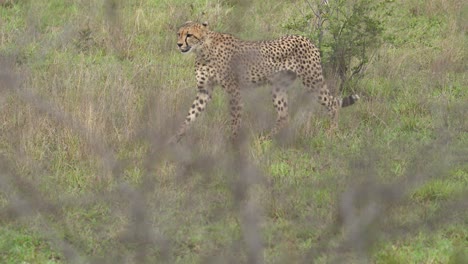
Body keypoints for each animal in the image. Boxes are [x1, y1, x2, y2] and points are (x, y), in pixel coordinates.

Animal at [174, 21, 360, 142]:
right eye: (179, 34)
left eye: (189, 35)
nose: (178, 44)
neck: (202, 49)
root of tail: (306, 38)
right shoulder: (204, 90)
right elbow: (190, 115)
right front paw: (175, 138)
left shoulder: (234, 90)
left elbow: (235, 118)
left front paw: (232, 143)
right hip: (278, 88)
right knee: (284, 116)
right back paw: (266, 139)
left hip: (312, 81)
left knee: (332, 103)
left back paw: (331, 133)